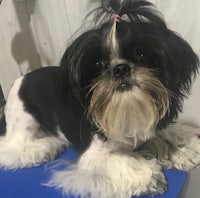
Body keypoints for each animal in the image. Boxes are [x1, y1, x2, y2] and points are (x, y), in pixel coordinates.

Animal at [0, 0, 200, 198]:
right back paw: (44, 148)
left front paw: (184, 148)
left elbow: (163, 134)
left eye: (142, 55)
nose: (121, 68)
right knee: (13, 148)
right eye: (98, 64)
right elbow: (120, 161)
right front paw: (149, 177)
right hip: (24, 124)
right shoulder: (92, 158)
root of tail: (19, 80)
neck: (125, 112)